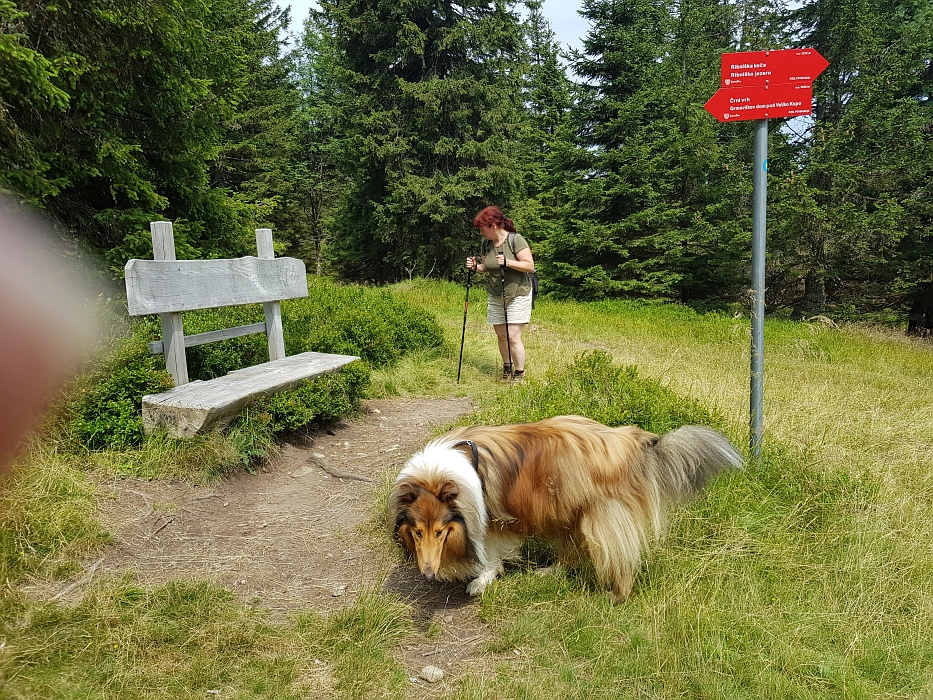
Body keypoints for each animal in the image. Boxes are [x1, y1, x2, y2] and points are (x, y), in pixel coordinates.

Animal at [386, 416, 744, 600]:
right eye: (416, 532)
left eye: (440, 531)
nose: (427, 573)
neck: (444, 472)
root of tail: (631, 441)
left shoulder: (491, 518)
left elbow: (490, 553)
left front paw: (481, 580)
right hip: (564, 511)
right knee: (570, 550)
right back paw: (549, 572)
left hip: (599, 518)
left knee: (618, 559)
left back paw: (617, 597)